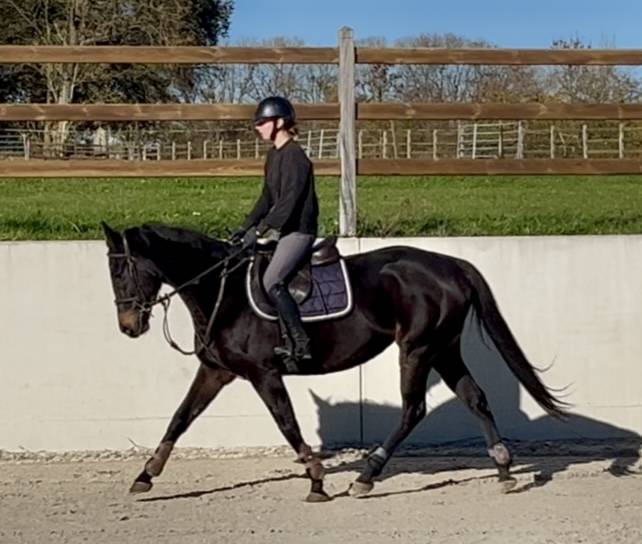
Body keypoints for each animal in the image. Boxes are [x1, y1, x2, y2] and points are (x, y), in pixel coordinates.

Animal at [102, 222, 566, 502]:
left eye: (122, 271)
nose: (128, 326)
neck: (222, 289)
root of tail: (451, 264)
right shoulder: (217, 371)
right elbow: (181, 418)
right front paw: (145, 475)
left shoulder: (263, 373)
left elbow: (287, 424)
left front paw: (316, 479)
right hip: (444, 349)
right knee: (475, 398)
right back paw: (503, 469)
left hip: (417, 349)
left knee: (413, 409)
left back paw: (367, 476)